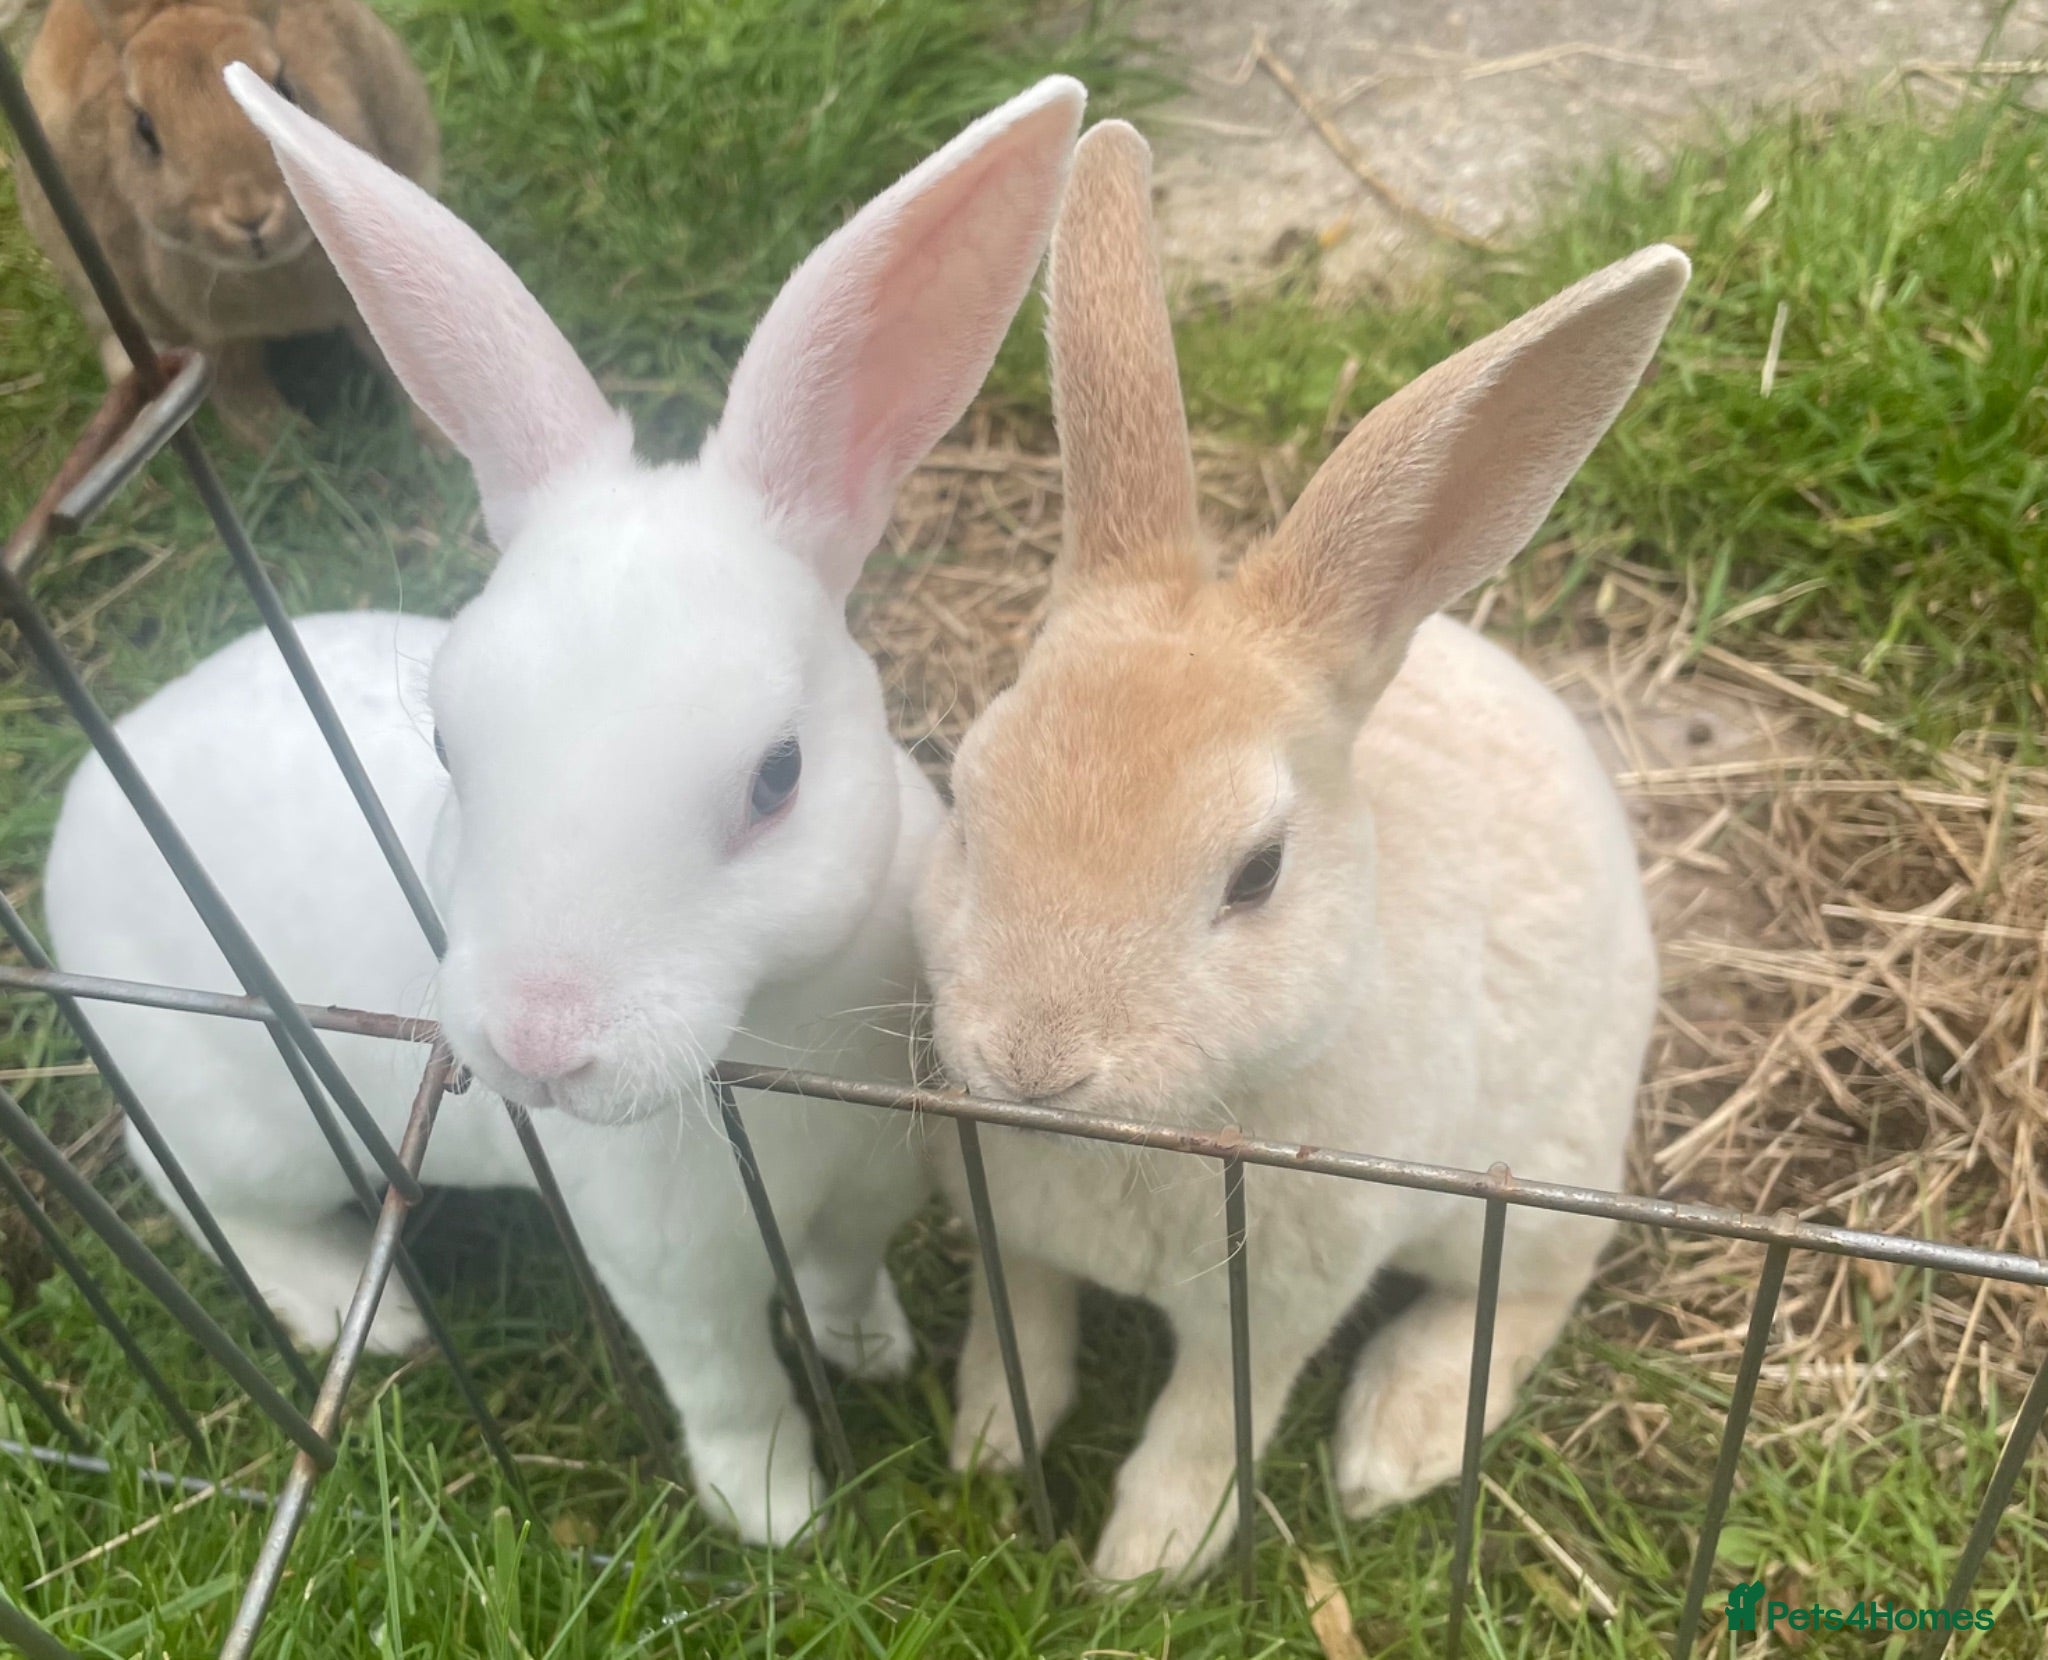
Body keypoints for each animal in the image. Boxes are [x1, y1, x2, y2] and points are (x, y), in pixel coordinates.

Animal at [15, 0, 439, 444]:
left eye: (284, 88)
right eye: (144, 129)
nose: (249, 215)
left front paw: (437, 443)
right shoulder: (204, 338)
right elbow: (240, 396)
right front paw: (288, 444)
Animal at [39, 67, 1086, 1545]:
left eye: (779, 776)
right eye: (449, 744)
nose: (539, 1046)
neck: (775, 1033)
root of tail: (88, 795)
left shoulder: (861, 1195)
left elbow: (840, 1284)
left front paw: (874, 1354)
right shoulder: (670, 1270)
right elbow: (731, 1386)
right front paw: (777, 1514)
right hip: (248, 1122)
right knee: (187, 1185)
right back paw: (353, 1311)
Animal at [914, 120, 1688, 1585]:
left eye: (1258, 874)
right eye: (965, 803)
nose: (1037, 1063)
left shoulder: (1275, 1299)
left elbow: (1214, 1411)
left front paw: (1146, 1560)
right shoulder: (1006, 1235)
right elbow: (1016, 1330)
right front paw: (987, 1449)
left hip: (1541, 1174)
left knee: (1528, 1291)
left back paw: (1396, 1444)